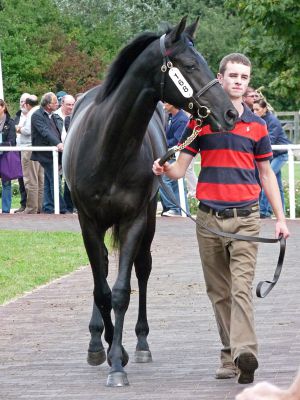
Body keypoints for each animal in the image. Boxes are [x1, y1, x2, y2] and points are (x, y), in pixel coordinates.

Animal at [62, 16, 237, 388]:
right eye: (190, 65)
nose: (229, 113)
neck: (108, 147)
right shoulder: (88, 222)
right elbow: (101, 289)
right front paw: (106, 349)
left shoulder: (134, 220)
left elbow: (121, 291)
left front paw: (118, 360)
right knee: (100, 270)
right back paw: (96, 339)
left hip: (149, 219)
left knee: (142, 269)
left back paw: (139, 343)